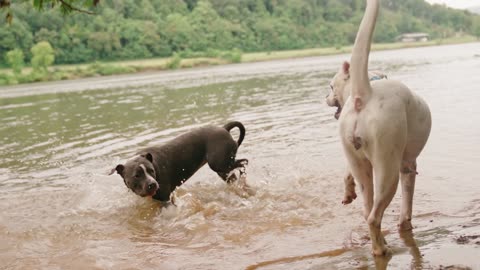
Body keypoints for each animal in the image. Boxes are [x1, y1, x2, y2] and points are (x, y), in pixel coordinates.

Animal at [109, 121, 248, 201]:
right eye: (136, 175)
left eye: (151, 171)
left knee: (243, 162)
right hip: (223, 169)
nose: (152, 184)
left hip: (218, 164)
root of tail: (224, 128)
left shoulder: (164, 199)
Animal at [330, 0, 432, 255]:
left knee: (368, 211)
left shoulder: (353, 157)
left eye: (330, 86)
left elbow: (346, 172)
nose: (325, 97)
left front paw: (348, 191)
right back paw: (381, 249)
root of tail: (364, 94)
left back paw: (380, 242)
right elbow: (407, 201)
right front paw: (405, 224)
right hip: (388, 170)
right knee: (374, 216)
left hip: (365, 169)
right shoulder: (408, 166)